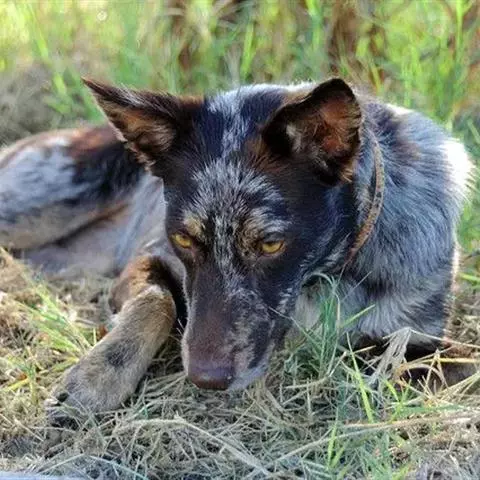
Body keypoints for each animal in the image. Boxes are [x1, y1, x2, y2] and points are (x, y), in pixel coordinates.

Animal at [0, 78, 473, 417]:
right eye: (184, 238)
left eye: (270, 243)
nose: (205, 379)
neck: (324, 277)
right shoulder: (149, 258)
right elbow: (157, 301)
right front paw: (98, 375)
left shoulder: (417, 339)